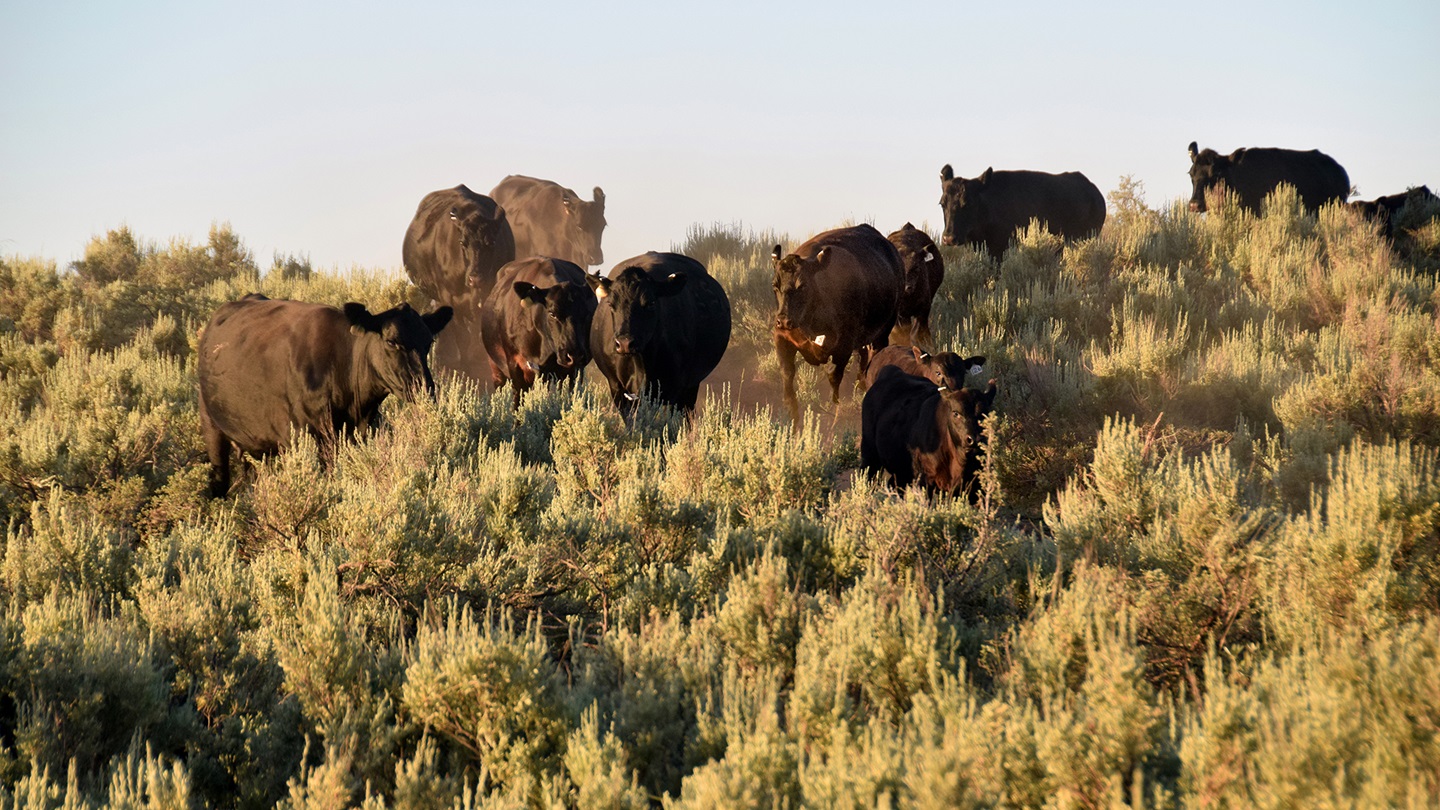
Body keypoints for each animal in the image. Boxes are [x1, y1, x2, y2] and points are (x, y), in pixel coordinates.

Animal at [198, 294, 452, 497]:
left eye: (429, 341)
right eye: (391, 341)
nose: (424, 388)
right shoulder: (305, 437)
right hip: (211, 425)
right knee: (219, 480)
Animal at [480, 256, 598, 407]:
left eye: (587, 313)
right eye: (552, 313)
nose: (574, 355)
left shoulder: (574, 371)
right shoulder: (516, 365)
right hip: (496, 368)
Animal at [586, 252, 731, 417]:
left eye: (651, 303)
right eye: (611, 304)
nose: (624, 343)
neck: (642, 364)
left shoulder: (675, 387)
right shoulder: (617, 388)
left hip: (691, 387)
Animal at [772, 224, 902, 423]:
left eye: (803, 286)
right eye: (775, 286)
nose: (784, 320)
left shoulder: (844, 345)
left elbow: (833, 377)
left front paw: (834, 412)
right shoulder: (782, 338)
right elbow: (787, 375)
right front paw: (791, 416)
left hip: (883, 330)